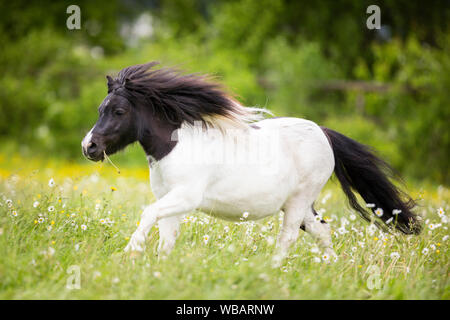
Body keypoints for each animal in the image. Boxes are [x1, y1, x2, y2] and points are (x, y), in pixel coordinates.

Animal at [81, 62, 422, 264]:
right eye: (100, 109)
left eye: (119, 111)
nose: (89, 147)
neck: (176, 148)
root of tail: (324, 133)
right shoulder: (170, 200)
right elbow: (166, 235)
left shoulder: (186, 197)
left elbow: (148, 215)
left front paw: (129, 253)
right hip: (301, 206)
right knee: (322, 231)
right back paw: (331, 269)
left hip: (298, 202)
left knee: (288, 237)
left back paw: (272, 272)